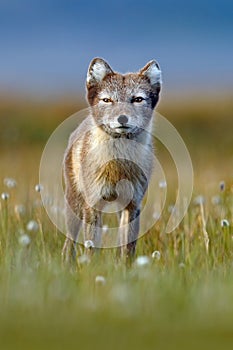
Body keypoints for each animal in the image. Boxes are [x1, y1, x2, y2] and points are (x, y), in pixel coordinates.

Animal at [62, 58, 162, 260]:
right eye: (107, 100)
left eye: (137, 99)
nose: (122, 118)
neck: (118, 167)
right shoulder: (93, 205)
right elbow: (91, 247)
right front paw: (91, 267)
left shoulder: (133, 205)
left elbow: (128, 249)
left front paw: (126, 267)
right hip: (75, 207)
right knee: (68, 245)